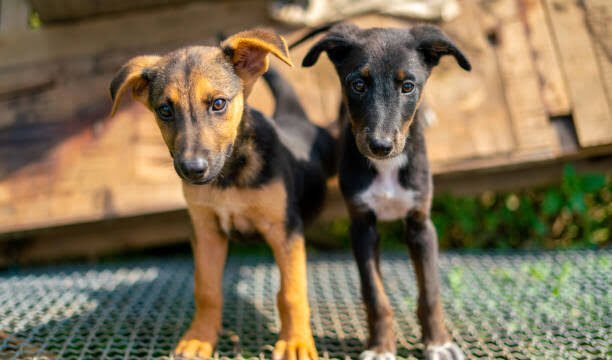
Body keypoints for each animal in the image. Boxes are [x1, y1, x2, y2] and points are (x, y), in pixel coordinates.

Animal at [107, 28, 332, 360]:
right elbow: (207, 289)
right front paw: (200, 338)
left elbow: (291, 292)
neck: (229, 177)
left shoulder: (285, 230)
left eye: (218, 103)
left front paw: (296, 342)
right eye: (165, 110)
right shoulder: (206, 231)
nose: (192, 170)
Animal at [298, 23, 470, 360]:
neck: (387, 167)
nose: (380, 146)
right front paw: (380, 347)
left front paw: (438, 342)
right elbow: (375, 295)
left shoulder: (421, 224)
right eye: (358, 85)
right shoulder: (362, 227)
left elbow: (430, 291)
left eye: (408, 86)